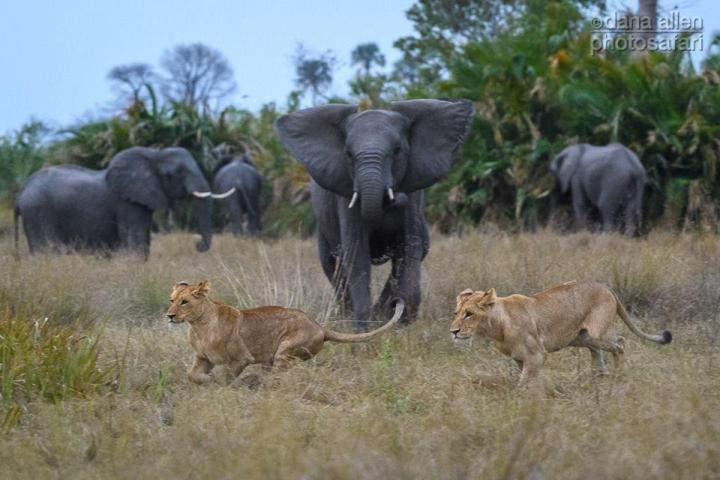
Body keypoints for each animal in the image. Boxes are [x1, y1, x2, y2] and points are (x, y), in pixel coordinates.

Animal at [14, 146, 233, 256]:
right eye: (174, 174)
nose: (197, 243)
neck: (153, 154)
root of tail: (21, 192)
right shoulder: (127, 203)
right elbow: (136, 244)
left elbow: (143, 243)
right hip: (38, 212)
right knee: (47, 250)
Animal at [274, 97, 472, 330]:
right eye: (348, 154)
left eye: (397, 150)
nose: (395, 198)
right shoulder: (346, 195)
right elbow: (356, 253)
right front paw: (364, 328)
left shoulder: (413, 198)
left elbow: (409, 247)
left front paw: (398, 319)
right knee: (333, 265)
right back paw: (348, 317)